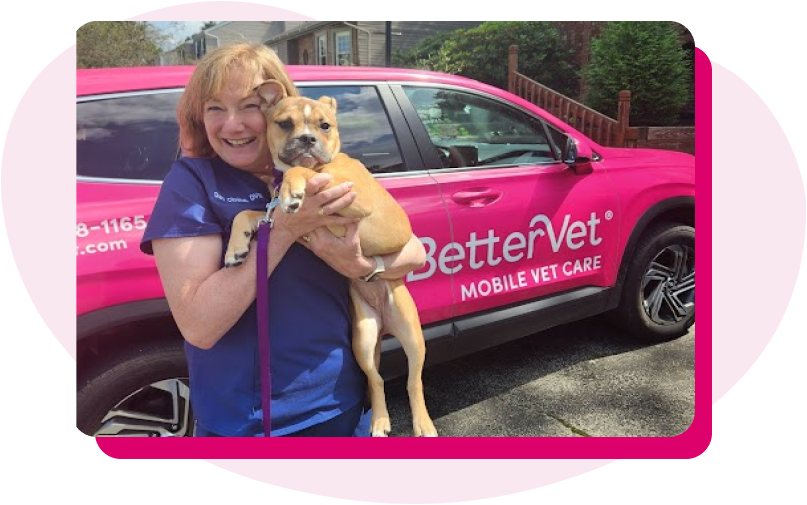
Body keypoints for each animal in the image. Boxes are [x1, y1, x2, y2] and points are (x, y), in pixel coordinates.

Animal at [224, 80, 438, 436]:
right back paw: (379, 421)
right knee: (376, 380)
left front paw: (294, 188)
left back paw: (423, 423)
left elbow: (301, 172)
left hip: (412, 334)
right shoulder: (276, 217)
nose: (308, 140)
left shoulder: (353, 197)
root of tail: (384, 321)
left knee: (414, 381)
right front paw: (234, 248)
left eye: (325, 126)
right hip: (363, 340)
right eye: (284, 123)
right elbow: (247, 212)